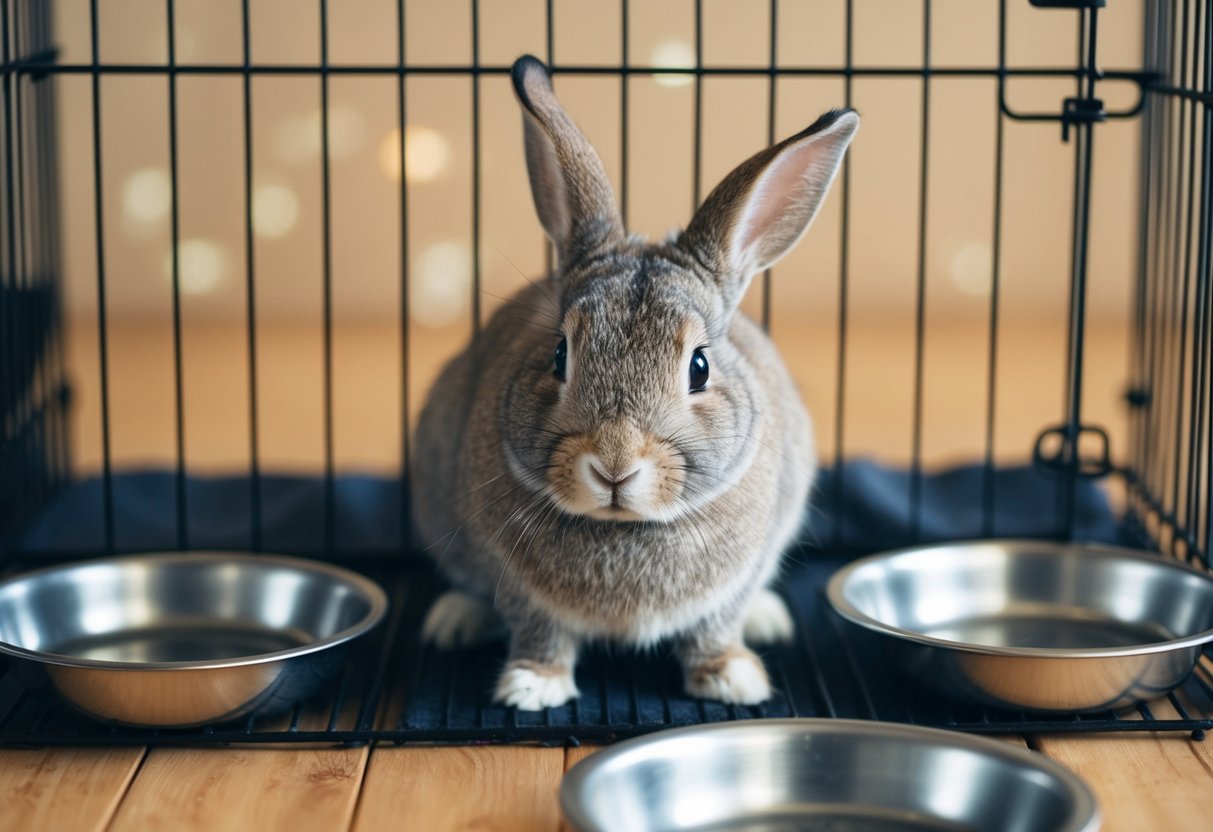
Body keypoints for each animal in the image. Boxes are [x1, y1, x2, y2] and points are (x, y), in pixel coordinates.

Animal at [413, 54, 858, 711]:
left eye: (699, 367)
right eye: (559, 355)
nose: (615, 465)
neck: (625, 527)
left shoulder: (734, 582)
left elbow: (716, 627)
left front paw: (732, 679)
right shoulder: (515, 584)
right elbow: (537, 630)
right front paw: (532, 687)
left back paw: (768, 619)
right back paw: (453, 619)